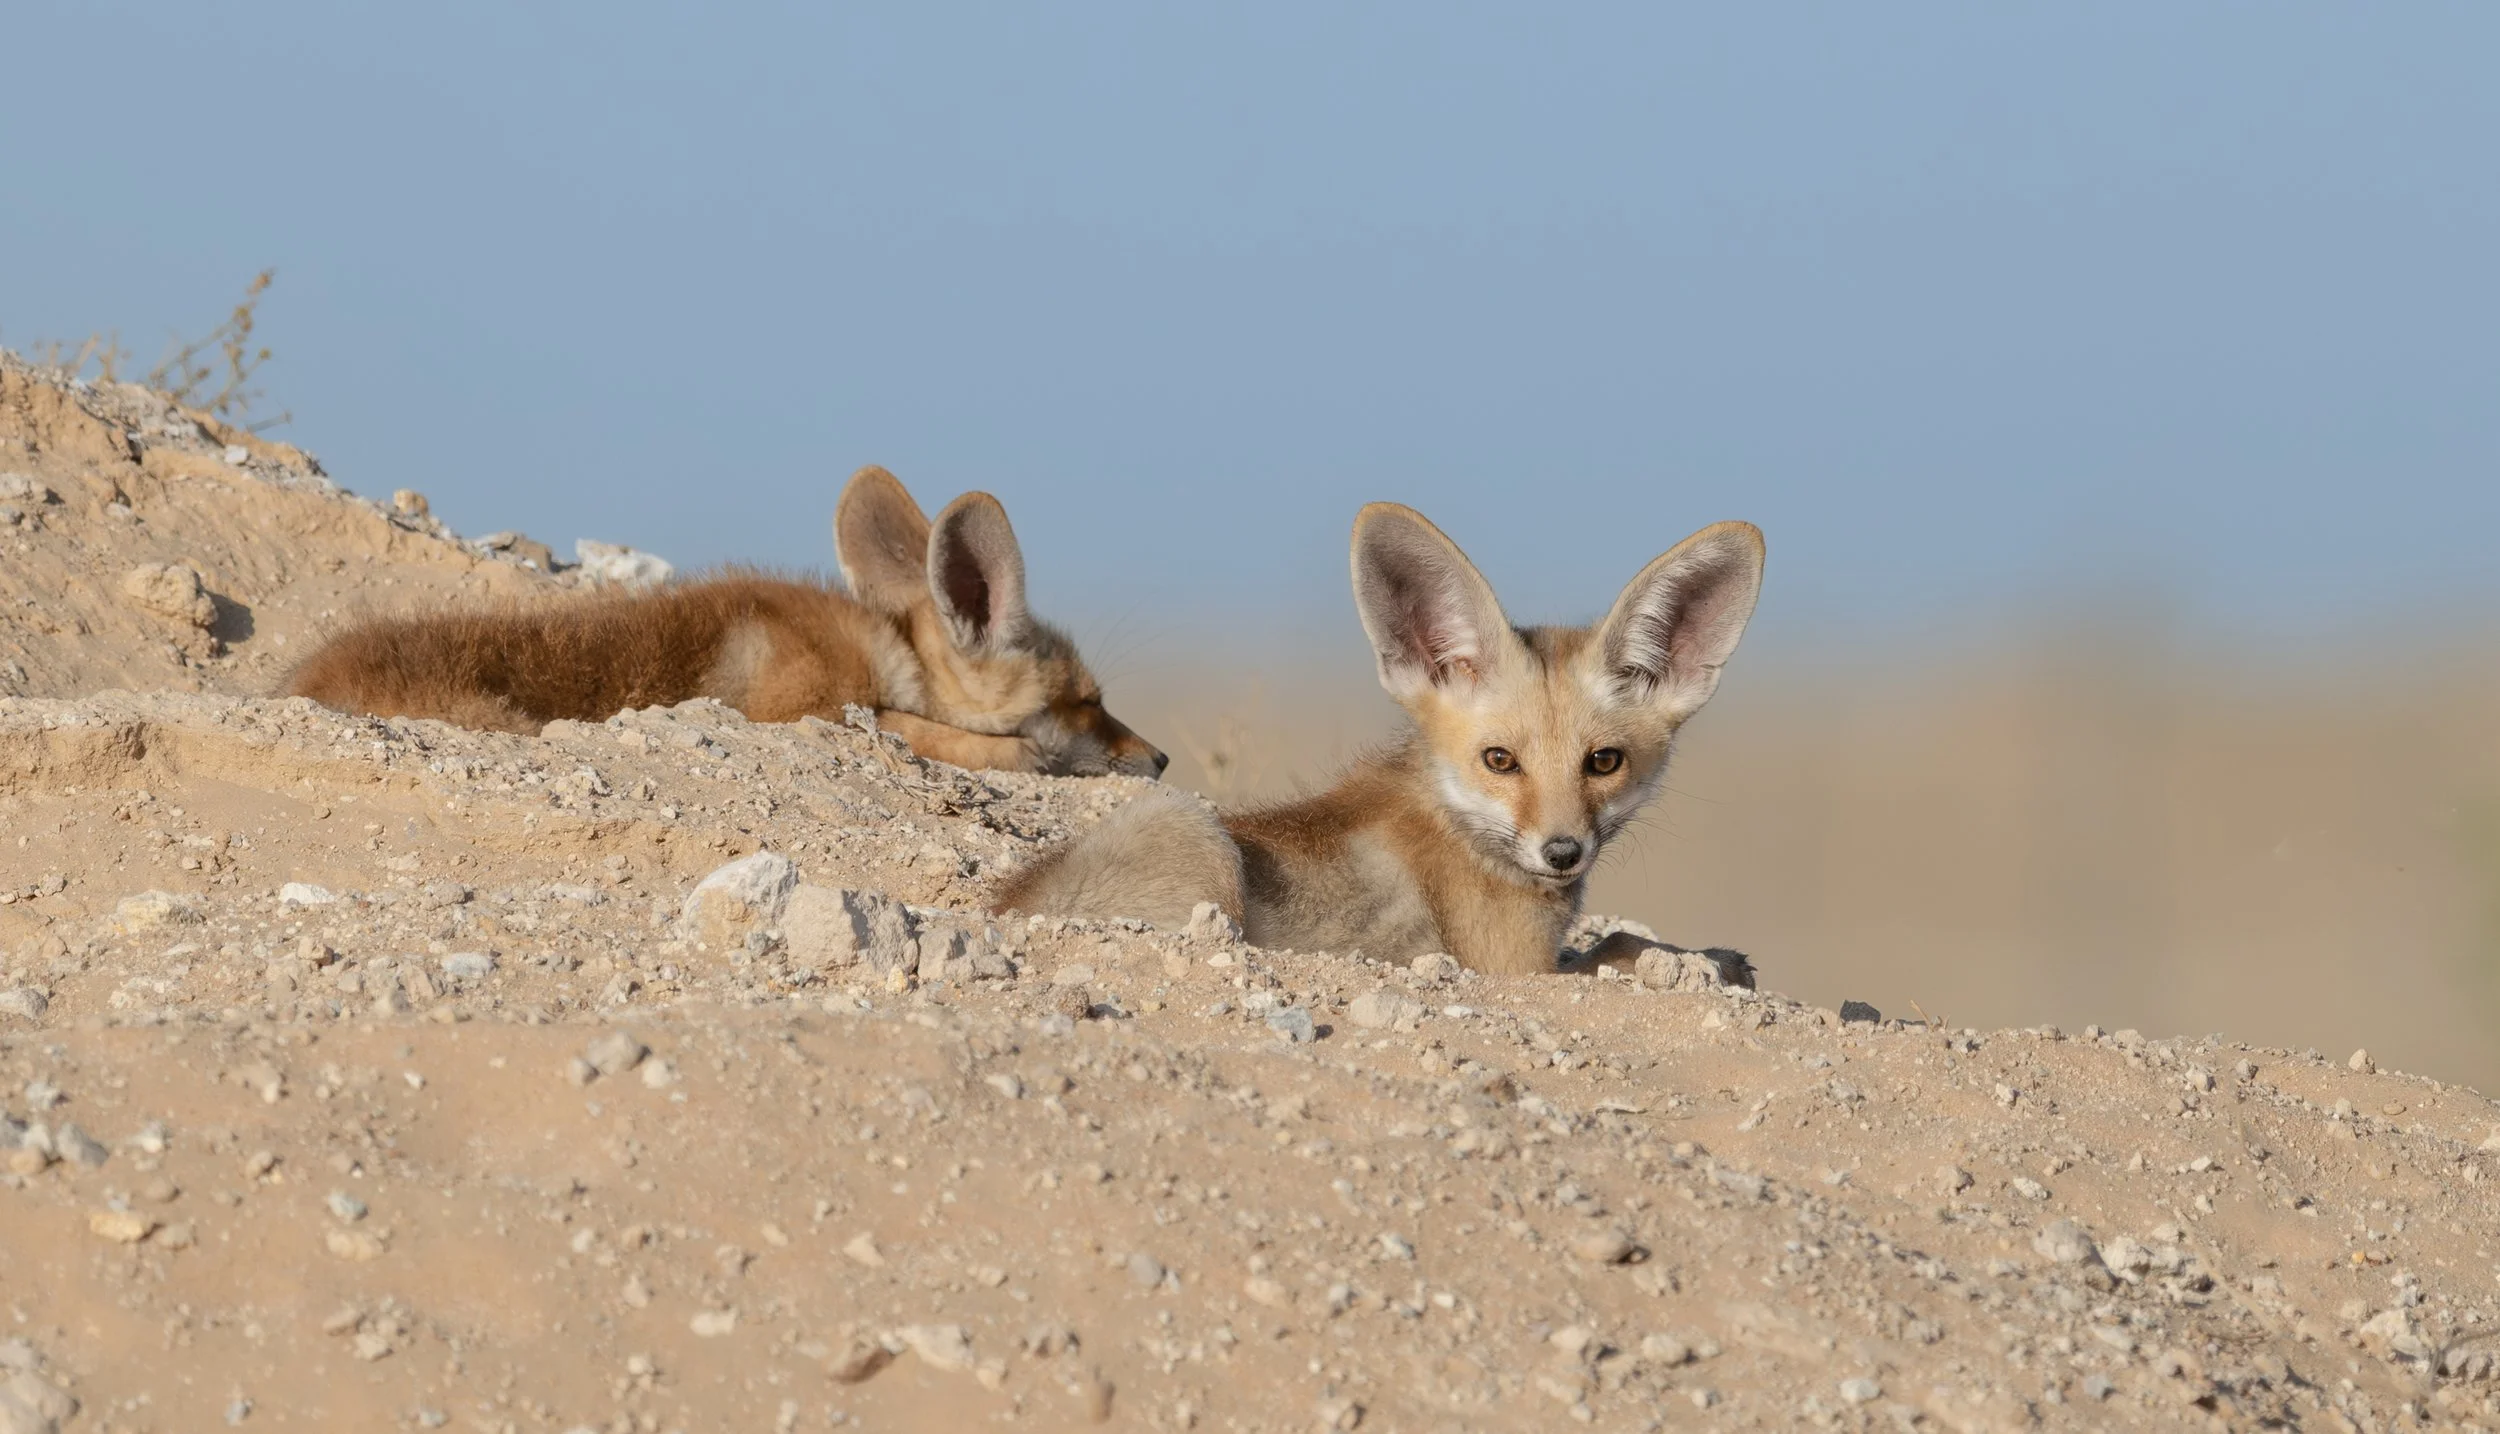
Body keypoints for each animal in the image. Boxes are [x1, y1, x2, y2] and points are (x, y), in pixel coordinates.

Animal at [284, 466, 1168, 779]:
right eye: (1087, 702)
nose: (1160, 758)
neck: (883, 649)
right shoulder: (796, 704)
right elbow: (910, 727)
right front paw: (1014, 754)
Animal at [993, 502, 1764, 974]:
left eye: (1603, 762)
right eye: (1500, 761)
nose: (1562, 852)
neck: (1454, 827)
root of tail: (1006, 909)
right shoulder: (1512, 968)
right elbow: (1619, 947)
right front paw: (1708, 962)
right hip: (1191, 827)